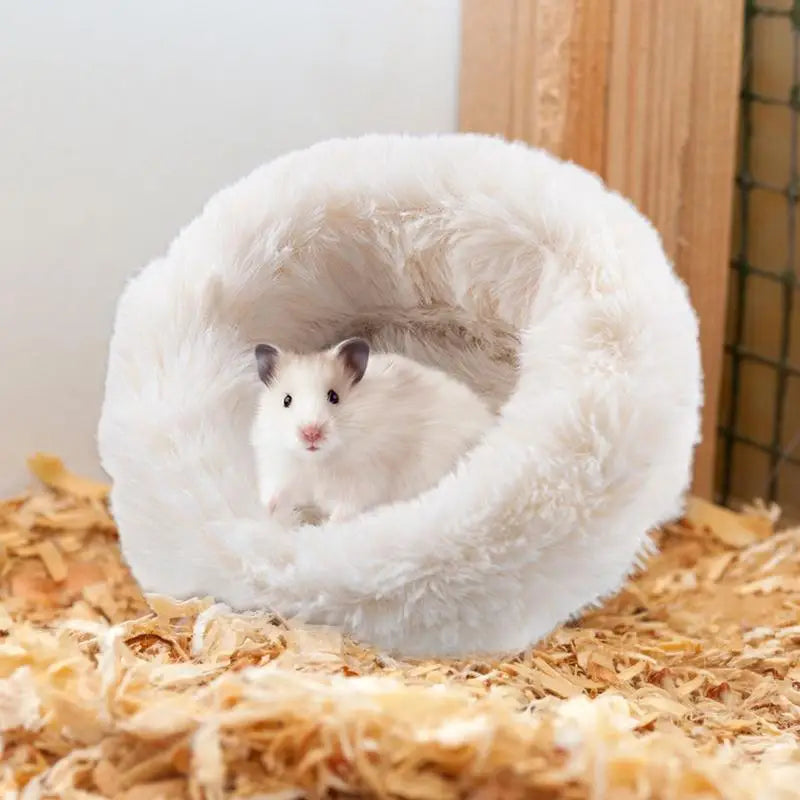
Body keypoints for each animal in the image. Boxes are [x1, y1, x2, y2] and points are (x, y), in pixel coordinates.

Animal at [250, 337, 494, 525]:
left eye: (334, 396)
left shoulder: (363, 481)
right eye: (286, 400)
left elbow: (346, 510)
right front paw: (271, 512)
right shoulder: (279, 468)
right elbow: (274, 493)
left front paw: (326, 527)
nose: (311, 433)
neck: (318, 461)